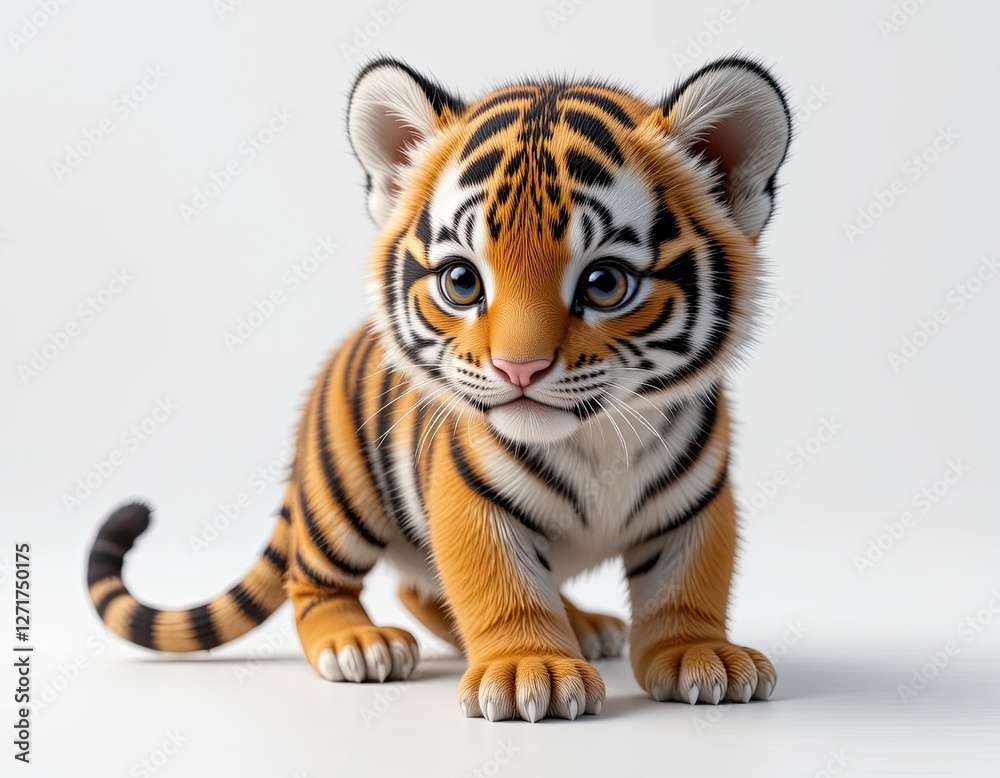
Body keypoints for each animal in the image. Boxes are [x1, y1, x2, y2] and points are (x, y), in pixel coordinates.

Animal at [86, 54, 791, 722]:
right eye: (462, 281)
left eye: (604, 284)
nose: (519, 370)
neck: (595, 441)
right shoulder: (468, 495)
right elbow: (502, 585)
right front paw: (528, 667)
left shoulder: (699, 501)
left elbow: (687, 585)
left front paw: (699, 654)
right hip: (341, 499)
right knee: (316, 582)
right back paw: (357, 643)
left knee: (419, 588)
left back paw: (583, 627)